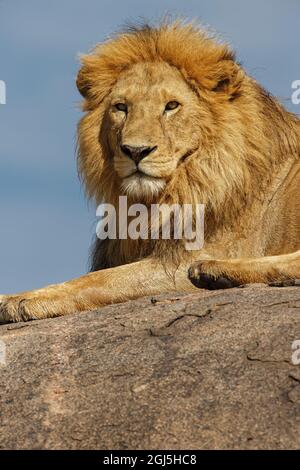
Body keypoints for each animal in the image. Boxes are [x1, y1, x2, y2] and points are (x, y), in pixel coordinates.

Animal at [0, 23, 300, 324]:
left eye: (171, 106)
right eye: (121, 107)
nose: (136, 151)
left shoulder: (181, 262)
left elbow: (101, 280)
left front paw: (19, 299)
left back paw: (210, 270)